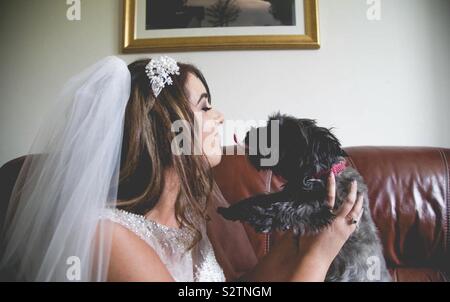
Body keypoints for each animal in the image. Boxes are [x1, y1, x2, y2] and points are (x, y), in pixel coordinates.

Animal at [218, 112, 390, 282]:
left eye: (280, 133)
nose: (248, 134)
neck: (315, 176)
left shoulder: (323, 208)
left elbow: (287, 209)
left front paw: (259, 217)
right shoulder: (288, 193)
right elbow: (263, 198)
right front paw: (233, 210)